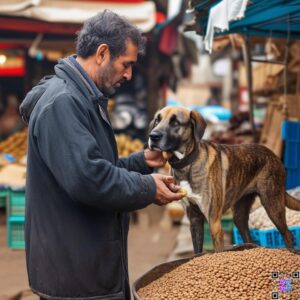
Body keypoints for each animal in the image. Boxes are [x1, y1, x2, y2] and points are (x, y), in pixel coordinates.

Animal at [148, 106, 300, 252]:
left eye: (175, 122)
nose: (152, 136)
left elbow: (218, 252)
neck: (187, 163)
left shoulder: (214, 223)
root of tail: (274, 156)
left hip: (273, 205)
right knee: (250, 239)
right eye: (157, 120)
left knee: (288, 234)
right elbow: (197, 252)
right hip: (239, 215)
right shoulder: (194, 220)